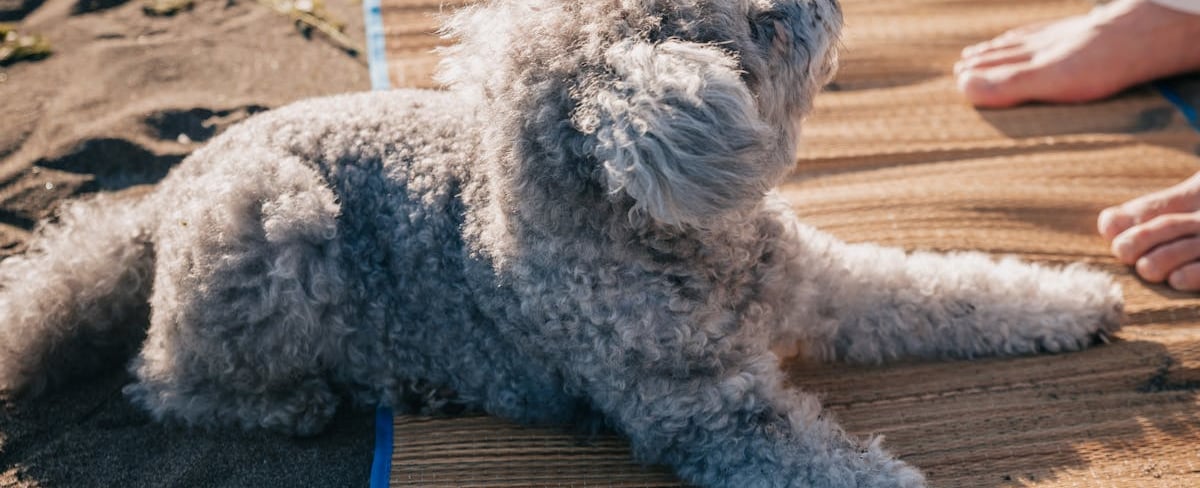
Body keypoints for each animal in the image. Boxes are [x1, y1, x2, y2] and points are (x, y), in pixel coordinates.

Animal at [0, 1, 1123, 486]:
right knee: (163, 377)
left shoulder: (828, 285)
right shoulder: (710, 420)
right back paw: (296, 402)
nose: (827, 0)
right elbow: (837, 469)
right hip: (274, 220)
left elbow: (948, 286)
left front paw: (1077, 300)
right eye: (759, 24)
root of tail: (166, 189)